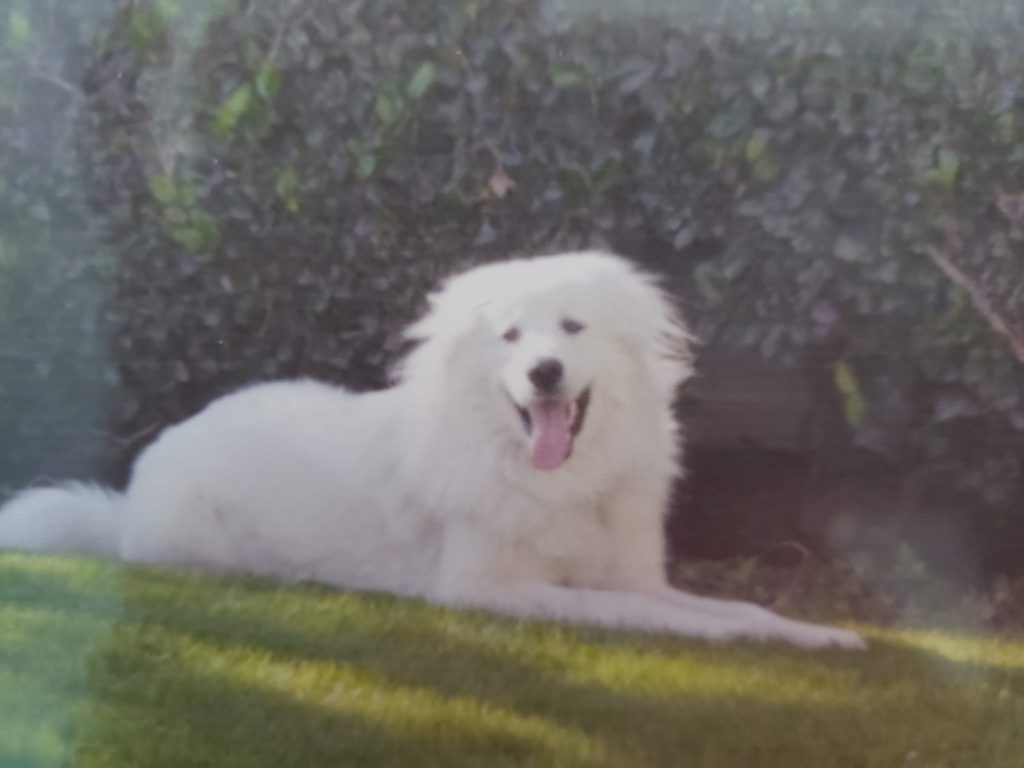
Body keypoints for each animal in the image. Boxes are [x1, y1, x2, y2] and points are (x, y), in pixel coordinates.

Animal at [0, 252, 864, 651]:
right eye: (510, 336)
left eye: (572, 327)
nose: (543, 371)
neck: (554, 480)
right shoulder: (490, 591)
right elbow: (646, 616)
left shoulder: (632, 573)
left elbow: (741, 607)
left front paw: (822, 638)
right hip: (197, 548)